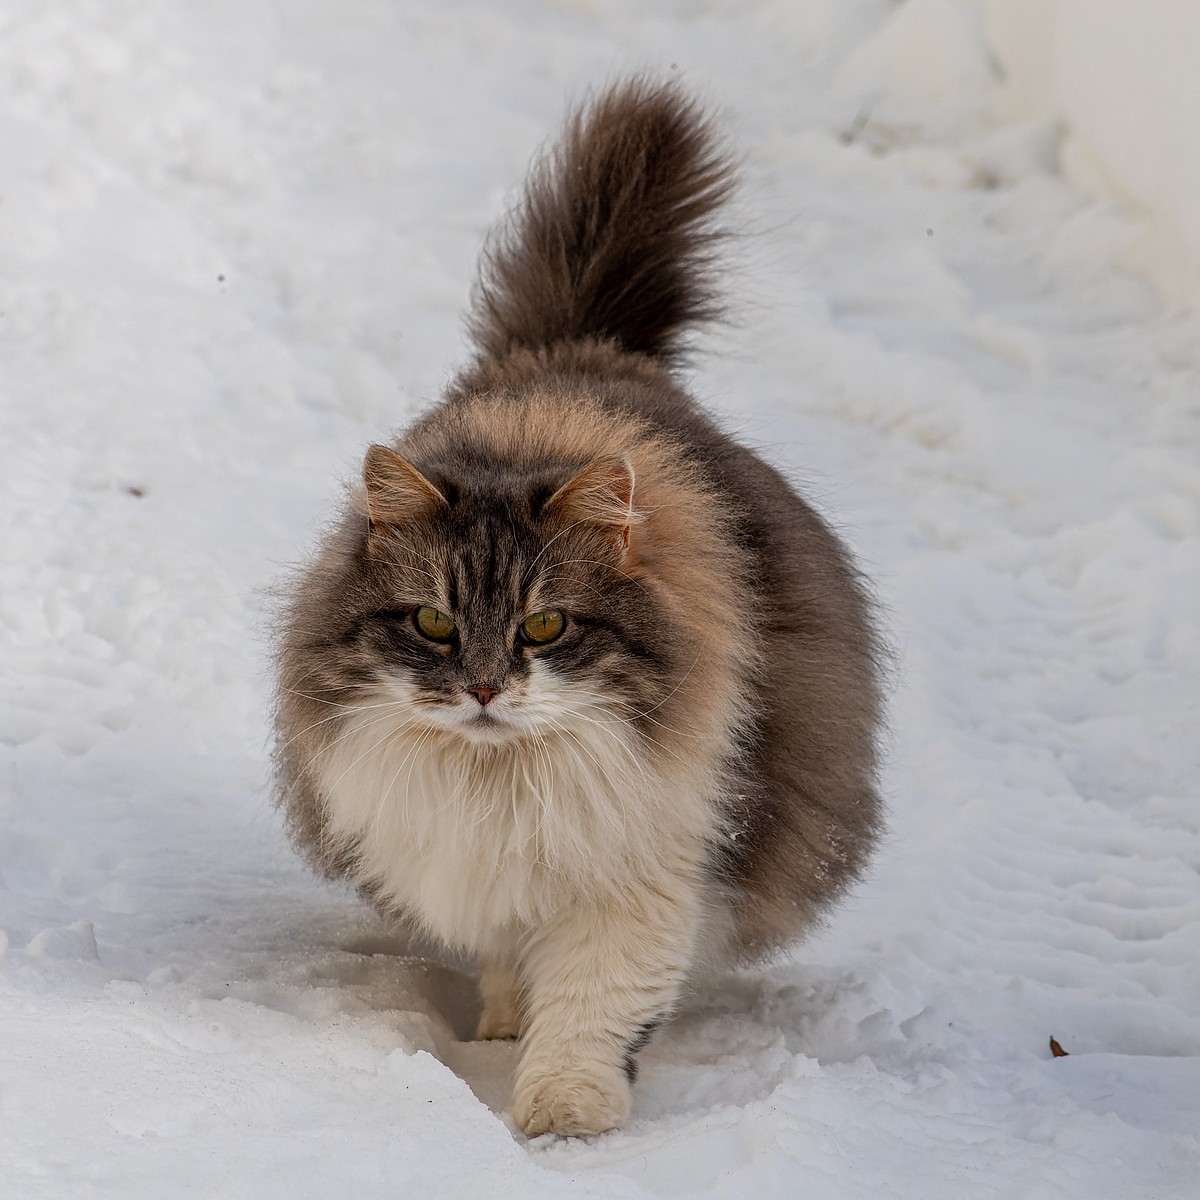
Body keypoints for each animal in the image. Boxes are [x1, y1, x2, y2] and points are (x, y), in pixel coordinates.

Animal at [276, 79, 888, 1137]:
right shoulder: (480, 862)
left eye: (545, 626)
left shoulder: (639, 876)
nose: (484, 689)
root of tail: (586, 351)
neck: (501, 784)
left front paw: (562, 1114)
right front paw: (504, 1044)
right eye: (433, 624)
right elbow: (517, 967)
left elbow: (594, 1009)